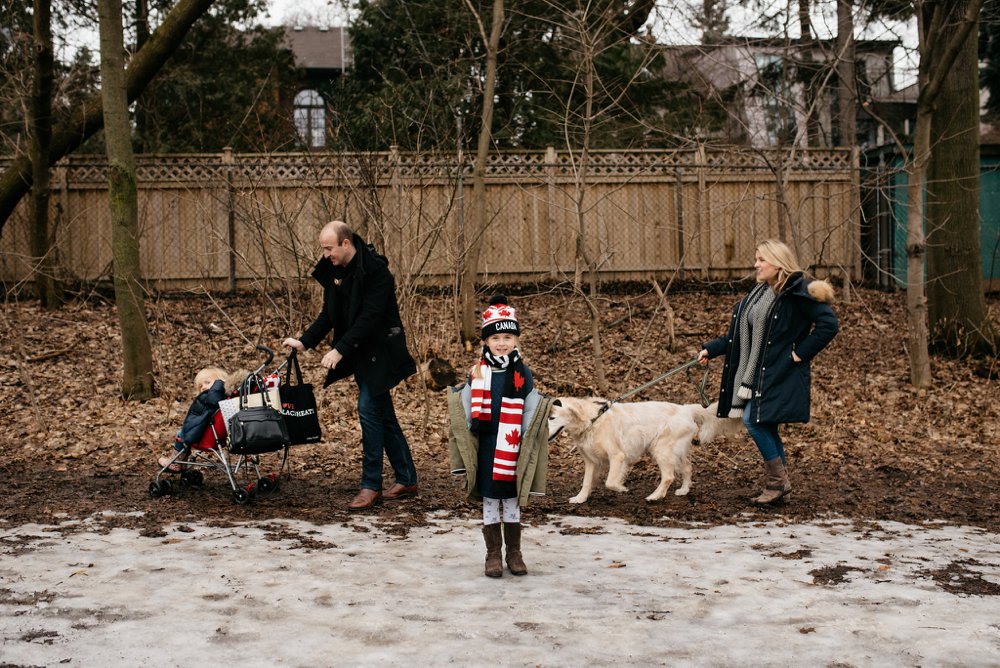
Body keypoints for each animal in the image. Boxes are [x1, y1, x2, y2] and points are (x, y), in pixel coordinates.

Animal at [552, 396, 740, 500]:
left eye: (552, 418)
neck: (593, 419)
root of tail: (686, 409)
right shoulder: (591, 461)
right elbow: (586, 482)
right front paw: (580, 498)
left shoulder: (617, 456)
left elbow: (610, 482)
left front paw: (621, 488)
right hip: (675, 451)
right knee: (687, 468)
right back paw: (684, 490)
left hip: (661, 450)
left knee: (669, 477)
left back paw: (655, 496)